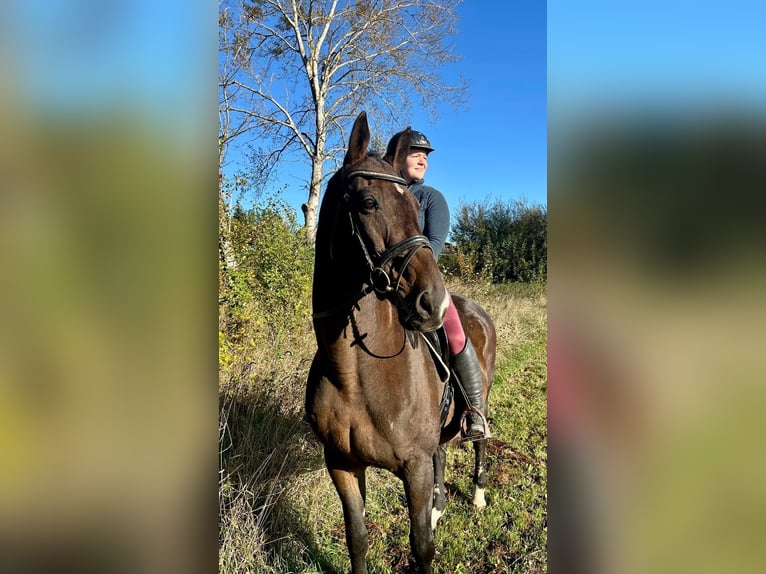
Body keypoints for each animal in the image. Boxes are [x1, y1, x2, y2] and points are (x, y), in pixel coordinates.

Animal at [306, 112, 498, 574]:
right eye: (368, 203)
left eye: (414, 207)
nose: (433, 302)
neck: (355, 376)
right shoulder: (341, 464)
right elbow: (357, 539)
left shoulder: (413, 466)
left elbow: (421, 545)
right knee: (442, 453)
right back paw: (439, 507)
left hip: (480, 405)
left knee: (479, 442)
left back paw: (478, 496)